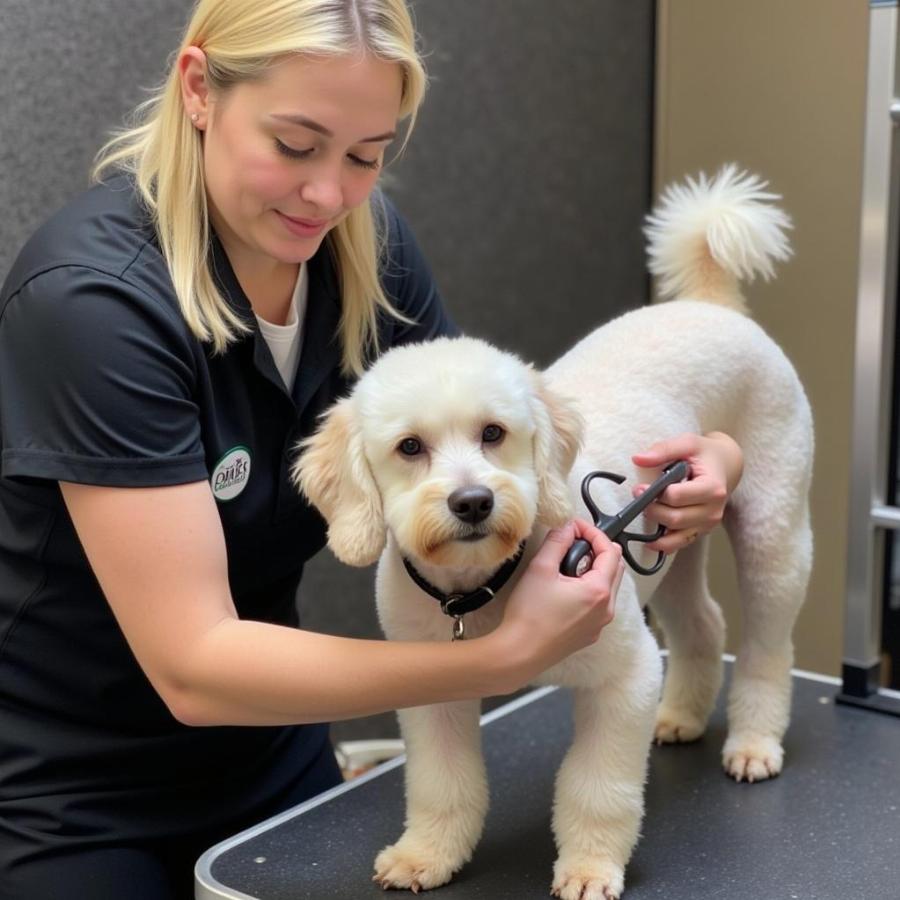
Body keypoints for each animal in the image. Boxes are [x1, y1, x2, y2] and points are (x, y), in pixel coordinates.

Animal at [294, 167, 808, 892]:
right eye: (409, 447)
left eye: (493, 433)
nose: (473, 502)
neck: (485, 588)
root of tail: (715, 307)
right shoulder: (429, 694)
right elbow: (441, 785)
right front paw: (428, 853)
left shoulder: (626, 679)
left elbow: (598, 788)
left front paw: (590, 866)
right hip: (669, 542)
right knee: (704, 624)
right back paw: (682, 715)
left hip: (772, 532)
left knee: (767, 647)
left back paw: (755, 741)